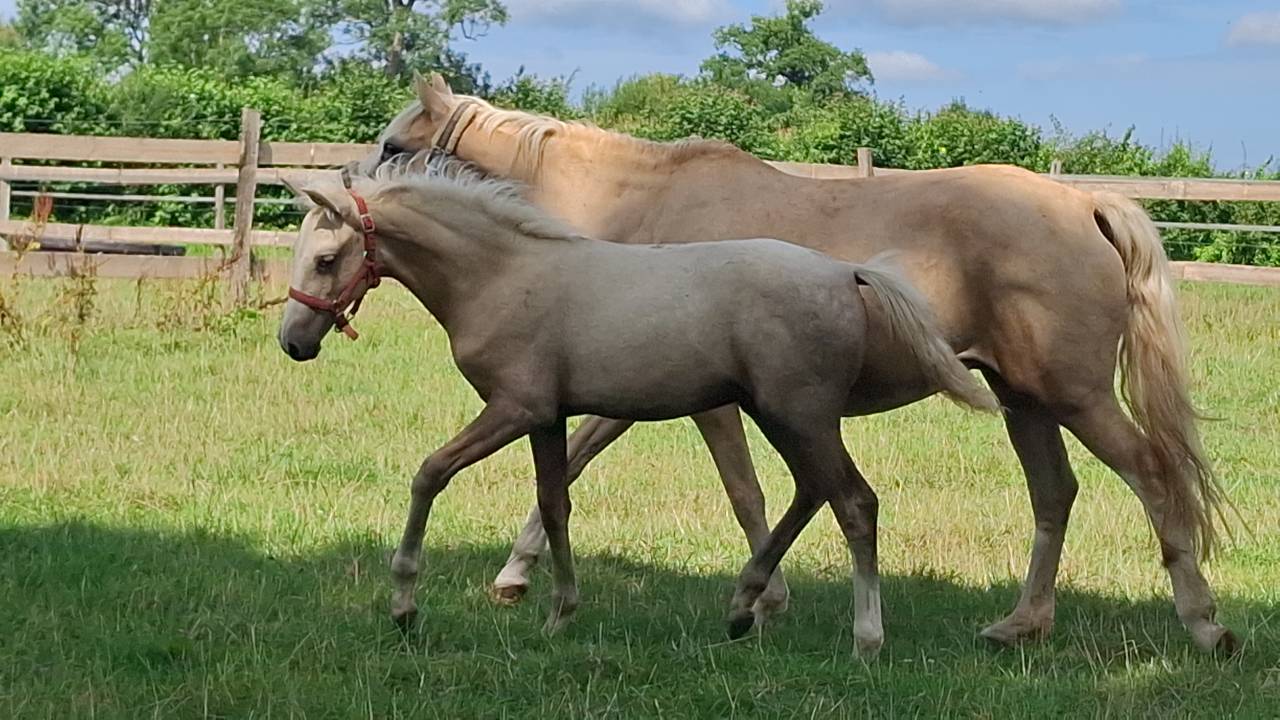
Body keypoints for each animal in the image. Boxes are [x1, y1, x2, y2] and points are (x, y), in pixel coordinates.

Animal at [277, 160, 998, 654]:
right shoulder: (548, 416)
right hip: (782, 416)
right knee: (812, 492)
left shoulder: (514, 408)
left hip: (799, 415)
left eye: (327, 258)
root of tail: (844, 273)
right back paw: (742, 607)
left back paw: (864, 638)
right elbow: (554, 504)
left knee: (853, 503)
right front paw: (559, 611)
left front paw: (404, 605)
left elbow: (430, 473)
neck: (502, 275)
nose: (293, 343)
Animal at [355, 73, 1237, 654]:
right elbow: (577, 467)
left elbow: (735, 488)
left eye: (395, 145)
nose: (341, 199)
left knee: (1152, 477)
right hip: (1023, 399)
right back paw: (1020, 625)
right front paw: (520, 575)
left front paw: (762, 596)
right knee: (1055, 495)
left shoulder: (698, 400)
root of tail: (1085, 202)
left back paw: (1202, 624)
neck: (637, 211)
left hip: (1075, 395)